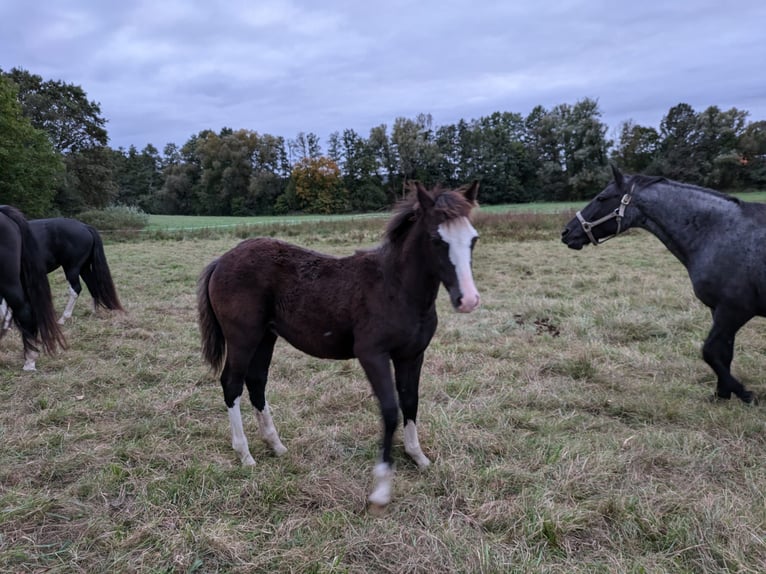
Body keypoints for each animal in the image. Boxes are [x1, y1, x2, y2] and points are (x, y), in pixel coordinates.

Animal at [196, 181, 480, 508]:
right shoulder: (372, 355)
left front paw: (417, 457)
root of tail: (221, 261)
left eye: (473, 239)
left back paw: (276, 446)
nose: (468, 299)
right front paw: (381, 487)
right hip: (242, 338)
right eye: (436, 238)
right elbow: (390, 410)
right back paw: (245, 454)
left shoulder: (412, 355)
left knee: (256, 382)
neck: (395, 288)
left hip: (266, 337)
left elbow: (410, 402)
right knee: (232, 384)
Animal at [560, 166, 764, 404]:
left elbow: (710, 351)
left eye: (602, 197)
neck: (720, 234)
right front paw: (722, 394)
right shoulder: (719, 311)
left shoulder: (735, 310)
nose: (566, 232)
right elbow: (724, 352)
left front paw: (744, 393)